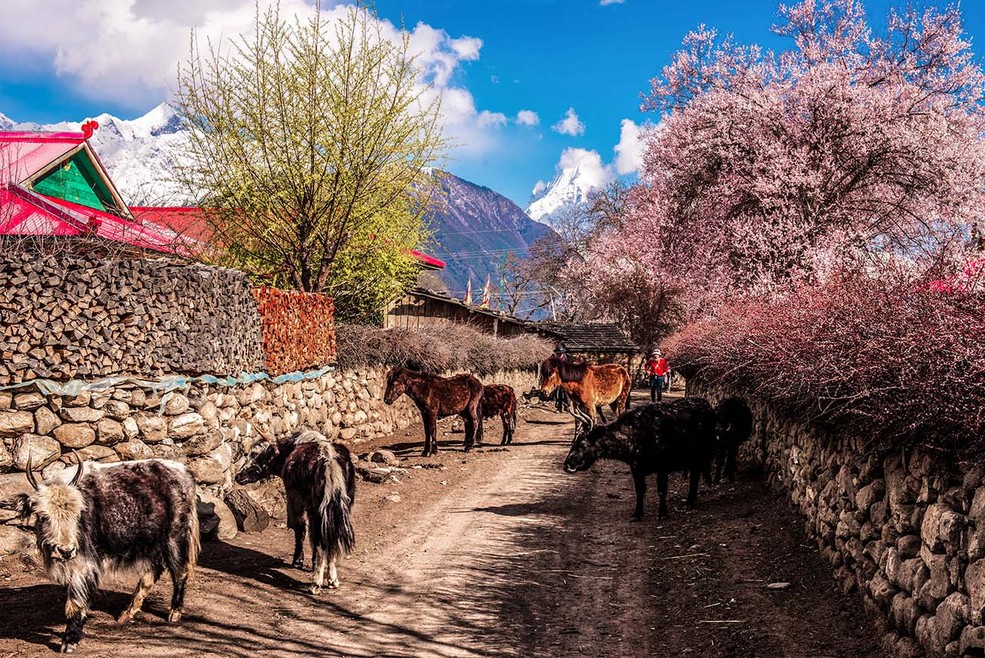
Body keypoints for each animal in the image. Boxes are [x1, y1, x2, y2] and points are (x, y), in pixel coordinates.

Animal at [12, 456, 198, 652]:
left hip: (175, 537)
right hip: (152, 541)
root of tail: (184, 470)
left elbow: (75, 600)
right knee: (153, 571)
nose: (66, 551)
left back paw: (174, 613)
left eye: (77, 515)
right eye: (43, 516)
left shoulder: (84, 563)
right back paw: (126, 614)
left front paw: (69, 641)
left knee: (179, 571)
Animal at [560, 394, 716, 516]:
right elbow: (640, 490)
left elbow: (661, 490)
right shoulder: (636, 468)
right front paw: (637, 513)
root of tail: (708, 406)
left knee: (695, 477)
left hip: (700, 456)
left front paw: (662, 513)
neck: (634, 435)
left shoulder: (662, 467)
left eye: (582, 443)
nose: (567, 464)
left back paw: (690, 501)